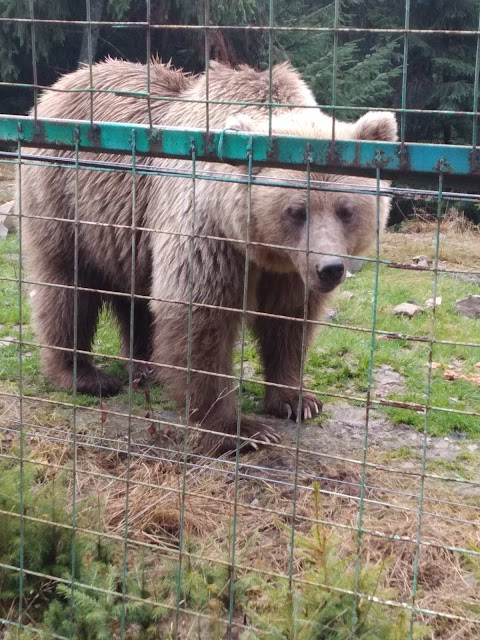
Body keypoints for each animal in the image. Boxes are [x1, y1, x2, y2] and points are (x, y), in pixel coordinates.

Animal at [21, 58, 398, 450]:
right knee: (67, 288)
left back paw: (146, 366)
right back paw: (84, 376)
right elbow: (200, 315)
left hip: (126, 232)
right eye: (296, 211)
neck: (261, 249)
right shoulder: (208, 231)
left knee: (136, 295)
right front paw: (240, 430)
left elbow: (289, 320)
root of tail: (62, 83)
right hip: (66, 197)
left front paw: (298, 400)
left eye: (346, 210)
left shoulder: (289, 271)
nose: (330, 268)